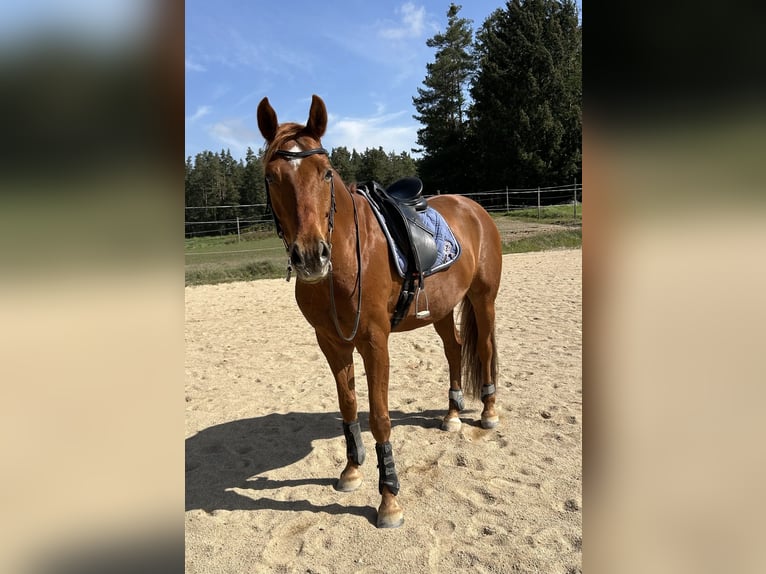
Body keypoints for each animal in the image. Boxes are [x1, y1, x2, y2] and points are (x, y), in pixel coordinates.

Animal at [256, 94, 504, 532]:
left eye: (326, 173)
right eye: (272, 177)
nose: (311, 256)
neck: (346, 257)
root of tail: (474, 208)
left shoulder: (374, 341)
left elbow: (381, 417)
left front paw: (389, 499)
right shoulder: (332, 343)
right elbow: (349, 406)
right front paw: (351, 471)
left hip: (483, 298)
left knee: (486, 348)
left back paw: (488, 412)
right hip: (441, 308)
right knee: (455, 350)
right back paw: (453, 414)